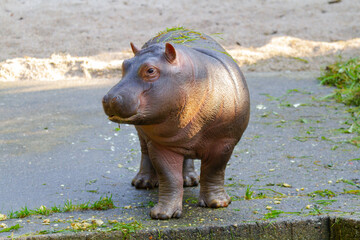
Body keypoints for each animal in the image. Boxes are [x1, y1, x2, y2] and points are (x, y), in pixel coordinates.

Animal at [102, 28, 250, 219]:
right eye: (124, 65)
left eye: (150, 70)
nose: (109, 98)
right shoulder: (160, 145)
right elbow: (169, 176)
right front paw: (162, 214)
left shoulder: (225, 142)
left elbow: (214, 171)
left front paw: (217, 204)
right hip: (144, 134)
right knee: (144, 152)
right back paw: (143, 183)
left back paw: (190, 180)